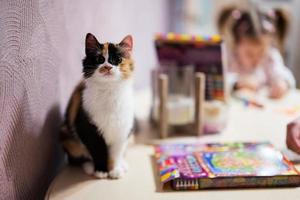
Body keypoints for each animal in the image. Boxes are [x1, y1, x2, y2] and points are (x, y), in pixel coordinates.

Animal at [60, 32, 135, 178]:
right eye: (99, 59)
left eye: (117, 60)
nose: (107, 67)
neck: (109, 91)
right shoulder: (87, 127)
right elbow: (97, 150)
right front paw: (101, 170)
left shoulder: (122, 129)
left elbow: (116, 152)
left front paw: (115, 169)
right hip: (67, 136)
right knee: (77, 159)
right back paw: (89, 167)